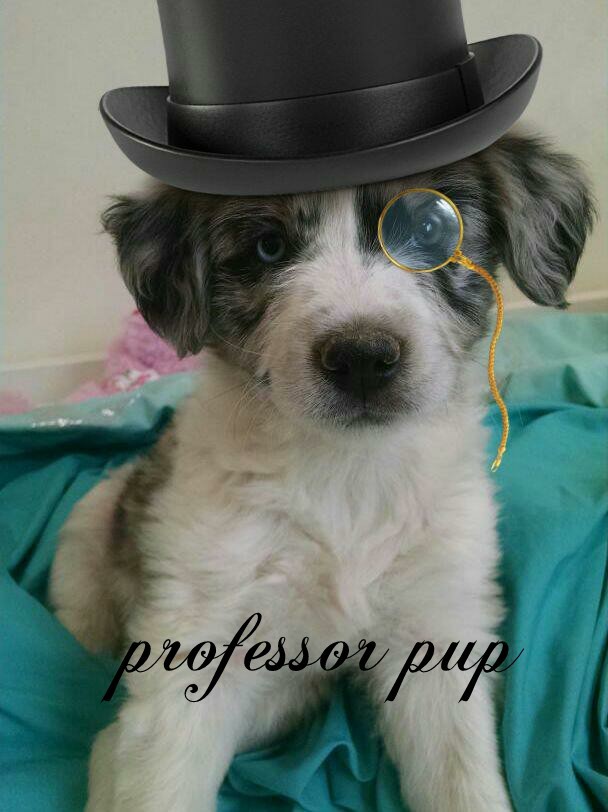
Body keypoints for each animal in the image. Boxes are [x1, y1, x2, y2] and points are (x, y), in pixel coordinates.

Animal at [50, 133, 593, 811]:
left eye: (432, 227)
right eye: (268, 246)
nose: (362, 358)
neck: (348, 477)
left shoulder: (439, 626)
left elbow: (463, 784)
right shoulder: (197, 636)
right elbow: (158, 783)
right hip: (89, 550)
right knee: (109, 723)